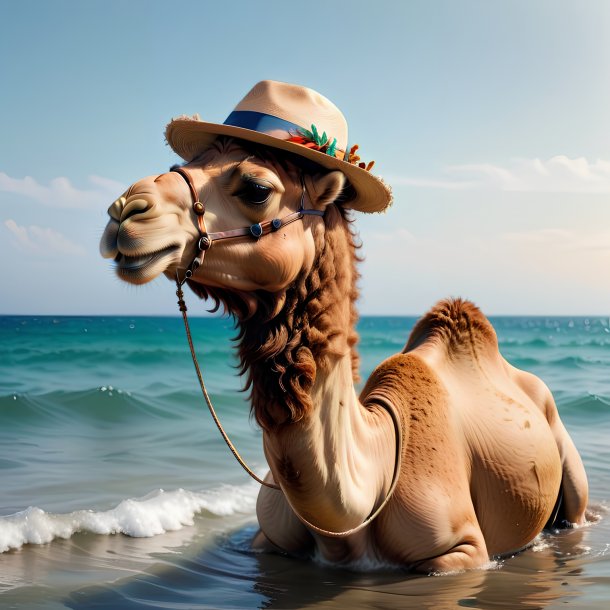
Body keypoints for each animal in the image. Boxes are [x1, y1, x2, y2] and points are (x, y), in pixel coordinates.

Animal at [98, 79, 584, 568]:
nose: (126, 210)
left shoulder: (463, 550)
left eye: (256, 188)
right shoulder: (267, 542)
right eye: (181, 165)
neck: (373, 475)